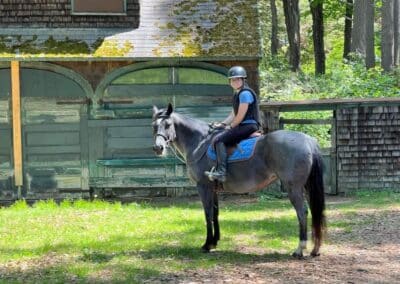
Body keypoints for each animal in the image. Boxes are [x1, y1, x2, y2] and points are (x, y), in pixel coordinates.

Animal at [152, 103, 324, 258]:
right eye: (154, 126)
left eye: (168, 125)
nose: (158, 148)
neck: (200, 142)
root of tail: (308, 141)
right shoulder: (213, 189)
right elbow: (215, 213)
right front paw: (215, 241)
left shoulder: (203, 186)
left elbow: (207, 214)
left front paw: (207, 244)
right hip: (306, 187)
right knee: (315, 211)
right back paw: (315, 249)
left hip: (293, 188)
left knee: (302, 212)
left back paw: (299, 249)